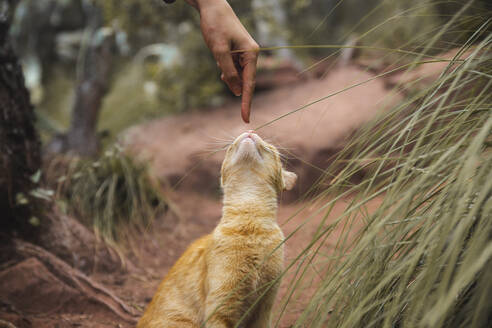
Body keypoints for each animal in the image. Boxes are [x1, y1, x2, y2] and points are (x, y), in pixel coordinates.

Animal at [139, 131, 300, 328]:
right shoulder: (221, 308)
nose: (250, 131)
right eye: (231, 146)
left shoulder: (264, 307)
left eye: (270, 147)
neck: (250, 219)